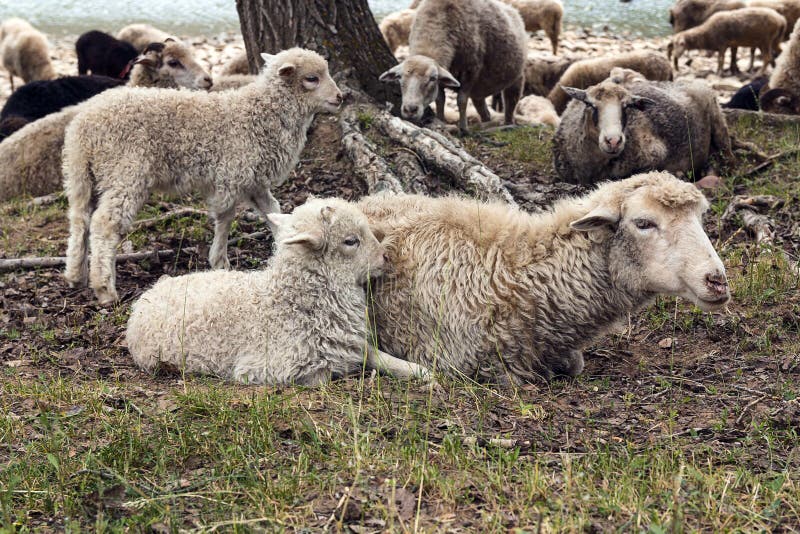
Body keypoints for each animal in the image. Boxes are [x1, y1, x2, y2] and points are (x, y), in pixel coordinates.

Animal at [59, 48, 340, 308]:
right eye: (312, 78)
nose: (340, 97)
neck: (260, 114)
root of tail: (84, 127)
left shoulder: (254, 179)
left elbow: (272, 210)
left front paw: (283, 240)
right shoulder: (232, 173)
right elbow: (226, 218)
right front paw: (219, 261)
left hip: (81, 175)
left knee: (79, 219)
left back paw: (75, 274)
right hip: (125, 171)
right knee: (104, 223)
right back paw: (105, 288)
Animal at [125, 199, 432, 388]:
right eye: (350, 241)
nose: (386, 258)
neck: (287, 301)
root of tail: (147, 296)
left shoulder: (350, 343)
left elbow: (378, 355)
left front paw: (419, 371)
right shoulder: (268, 368)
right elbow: (327, 374)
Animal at [378, 0, 528, 133]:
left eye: (432, 78)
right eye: (399, 77)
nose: (410, 110)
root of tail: (513, 10)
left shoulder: (471, 69)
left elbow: (461, 100)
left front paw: (463, 129)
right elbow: (440, 100)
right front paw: (440, 122)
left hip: (517, 78)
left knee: (510, 103)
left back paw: (508, 125)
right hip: (479, 91)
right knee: (483, 108)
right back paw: (487, 123)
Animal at [552, 69, 736, 186]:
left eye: (626, 106)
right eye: (590, 105)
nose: (613, 141)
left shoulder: (654, 154)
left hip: (718, 122)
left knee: (728, 162)